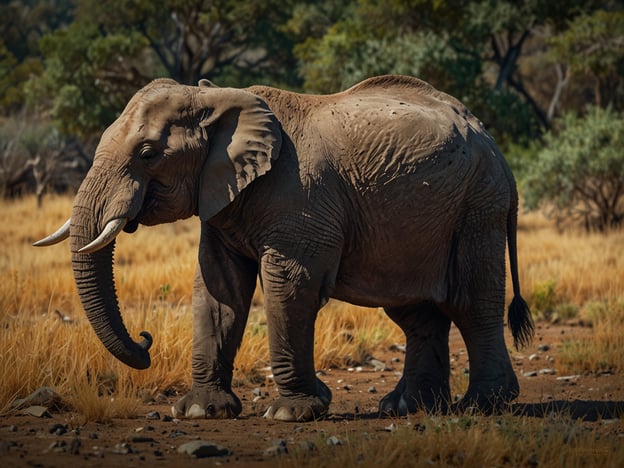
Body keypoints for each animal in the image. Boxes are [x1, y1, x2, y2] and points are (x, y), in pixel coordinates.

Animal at [34, 75, 532, 422]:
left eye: (147, 153)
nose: (145, 341)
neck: (218, 100)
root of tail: (492, 142)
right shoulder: (221, 198)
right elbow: (218, 288)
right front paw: (200, 411)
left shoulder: (301, 197)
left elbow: (289, 284)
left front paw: (292, 413)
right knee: (415, 311)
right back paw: (407, 407)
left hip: (479, 206)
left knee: (472, 302)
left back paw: (483, 404)